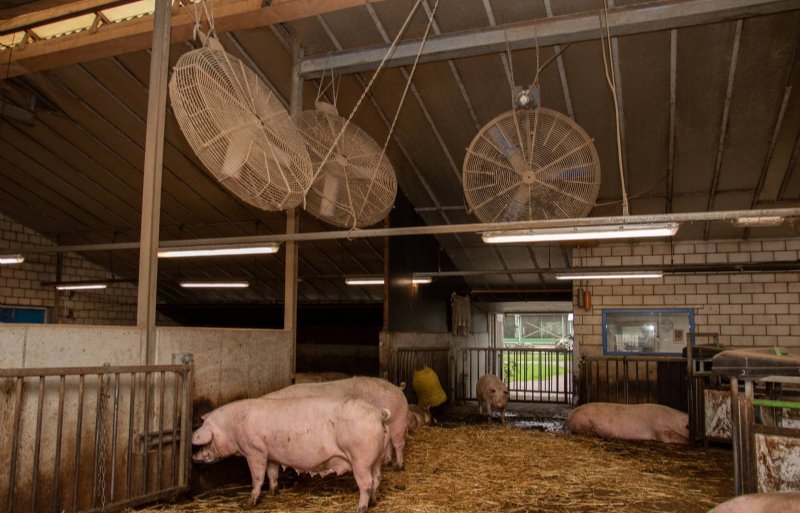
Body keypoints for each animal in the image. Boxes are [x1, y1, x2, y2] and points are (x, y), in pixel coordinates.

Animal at [192, 394, 390, 510]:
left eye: (205, 441)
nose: (193, 456)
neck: (231, 428)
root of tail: (378, 413)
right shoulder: (271, 454)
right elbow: (272, 473)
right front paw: (274, 493)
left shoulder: (255, 451)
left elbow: (257, 477)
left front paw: (248, 504)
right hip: (377, 458)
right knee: (378, 477)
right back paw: (374, 502)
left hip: (360, 459)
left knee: (366, 484)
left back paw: (361, 508)